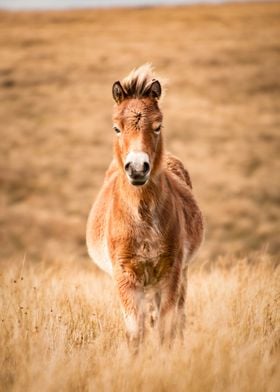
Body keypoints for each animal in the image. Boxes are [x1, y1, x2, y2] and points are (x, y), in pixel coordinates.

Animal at [86, 64, 205, 346]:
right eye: (116, 128)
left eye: (158, 126)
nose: (138, 168)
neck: (142, 219)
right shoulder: (125, 277)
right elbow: (135, 333)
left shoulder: (171, 272)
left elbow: (166, 329)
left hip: (180, 275)